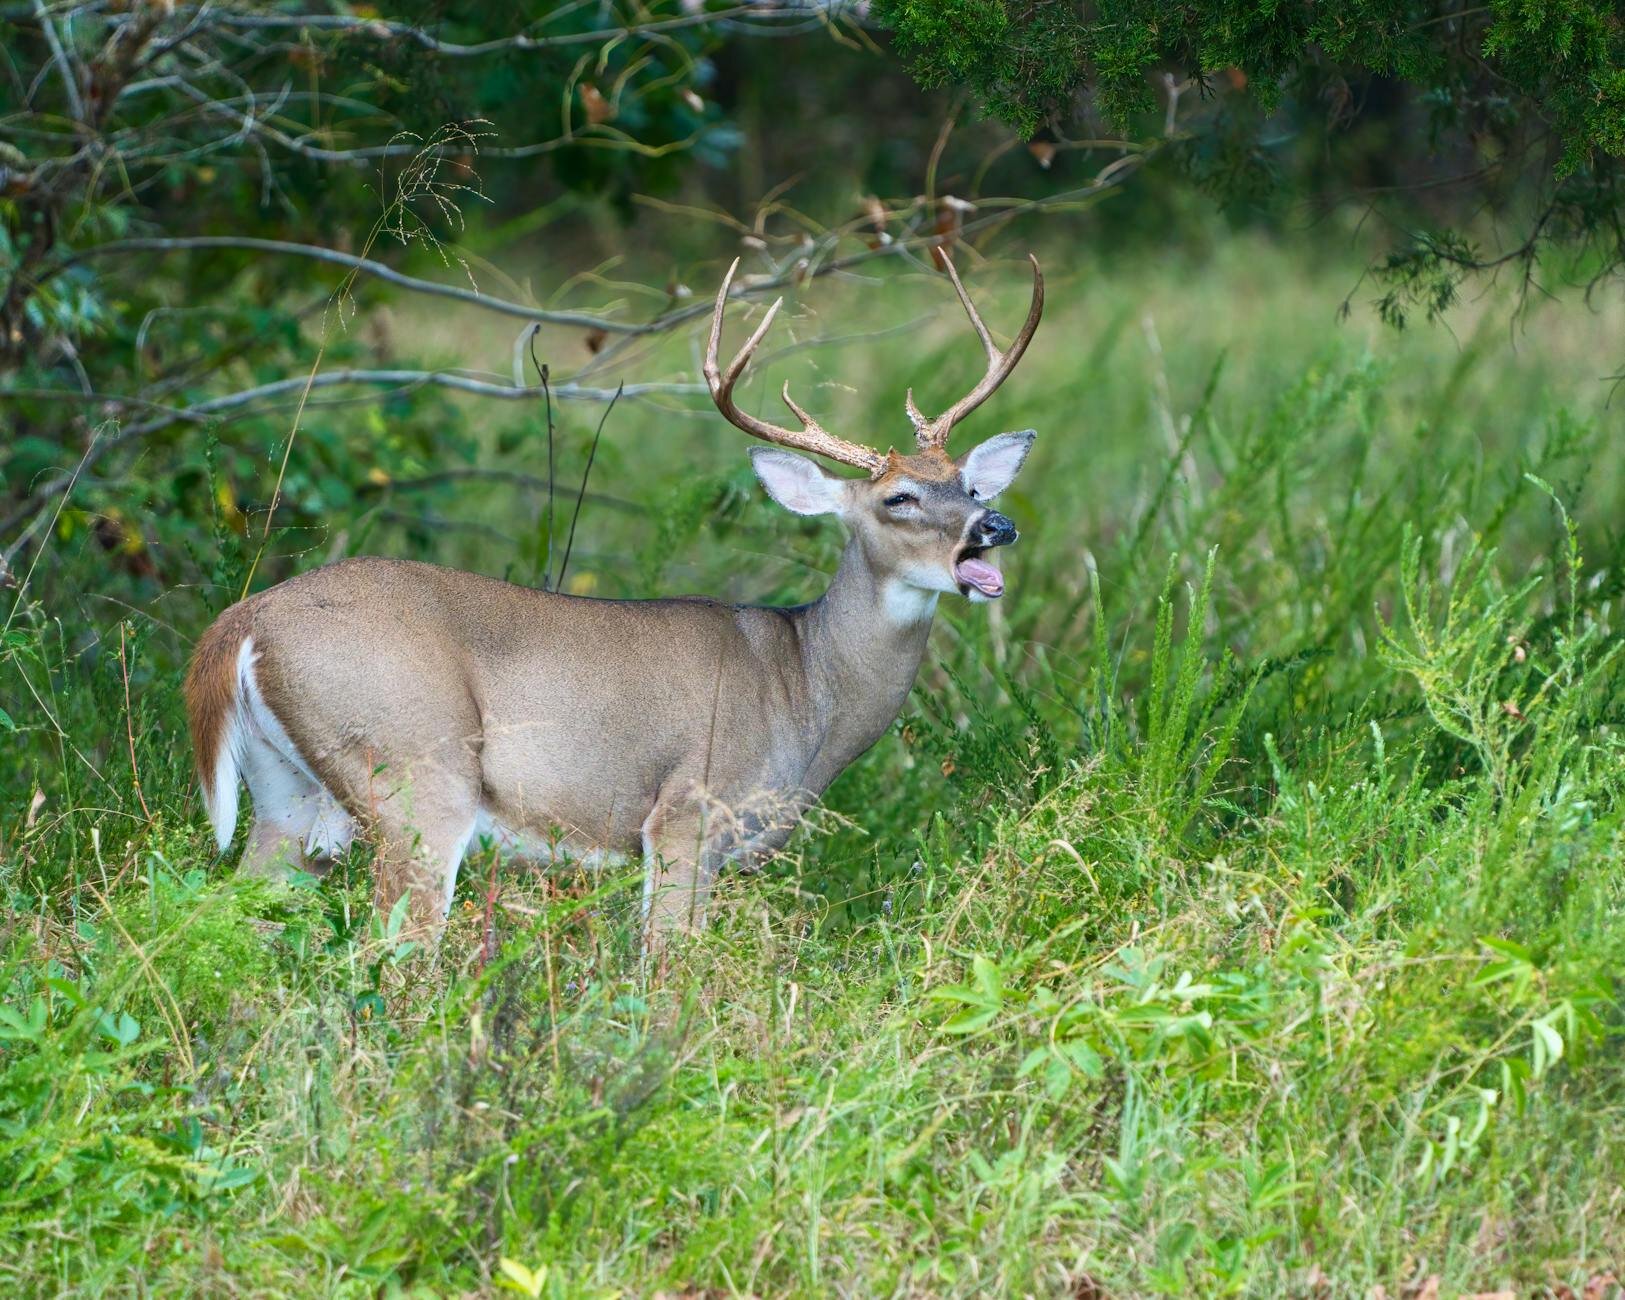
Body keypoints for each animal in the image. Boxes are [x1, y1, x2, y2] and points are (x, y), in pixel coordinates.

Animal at [184, 252, 1044, 952]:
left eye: (967, 484)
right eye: (899, 498)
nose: (995, 525)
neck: (807, 687)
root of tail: (241, 623)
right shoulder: (687, 813)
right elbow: (667, 964)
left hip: (288, 795)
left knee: (237, 920)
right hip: (414, 772)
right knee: (392, 950)